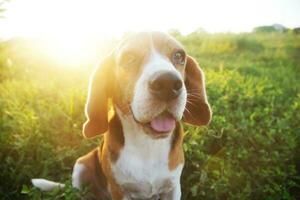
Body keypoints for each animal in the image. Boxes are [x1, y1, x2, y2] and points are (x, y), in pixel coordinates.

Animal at [32, 32, 211, 199]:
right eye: (129, 58)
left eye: (179, 56)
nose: (168, 83)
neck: (147, 144)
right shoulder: (119, 190)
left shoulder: (173, 187)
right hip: (81, 164)